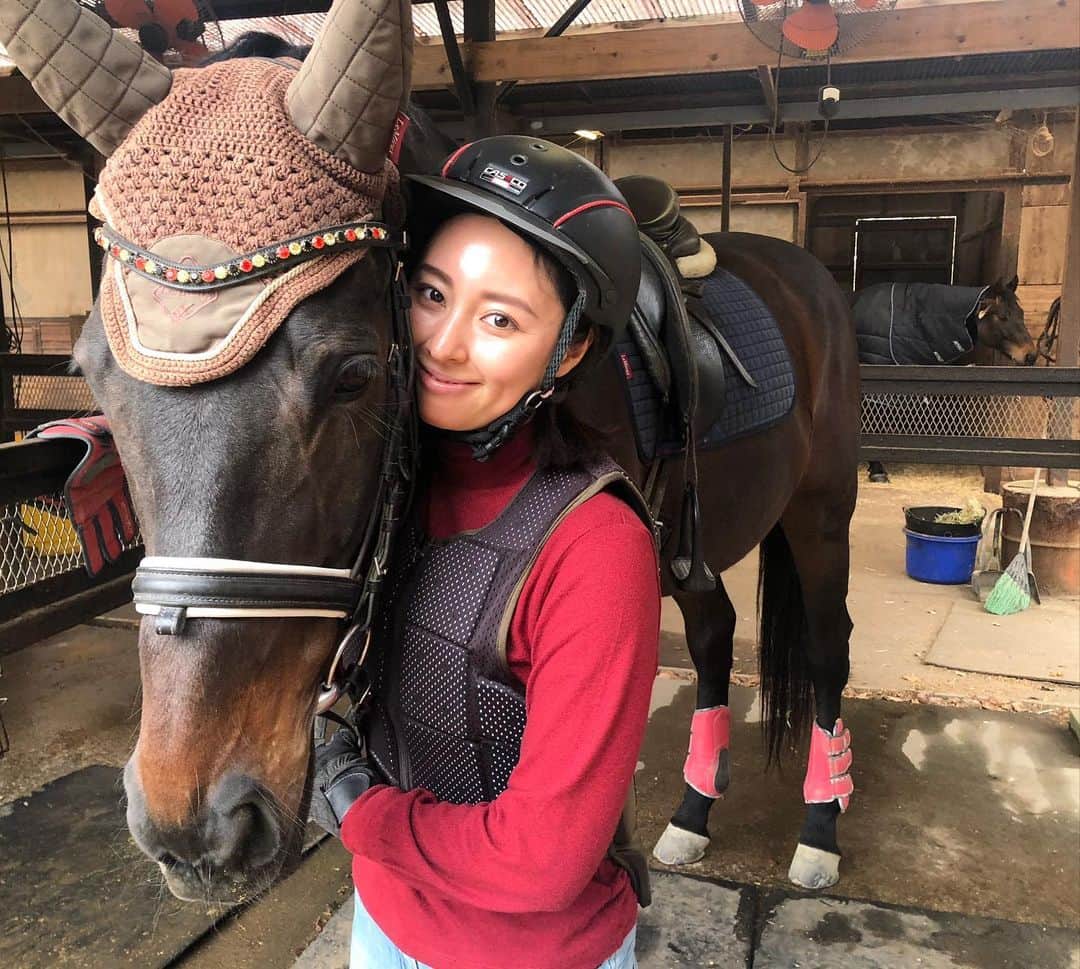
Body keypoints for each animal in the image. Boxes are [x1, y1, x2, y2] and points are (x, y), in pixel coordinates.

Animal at [2, 0, 859, 902]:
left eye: (352, 376)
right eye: (92, 375)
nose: (195, 826)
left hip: (821, 510)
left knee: (827, 647)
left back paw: (819, 832)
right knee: (715, 632)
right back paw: (693, 817)